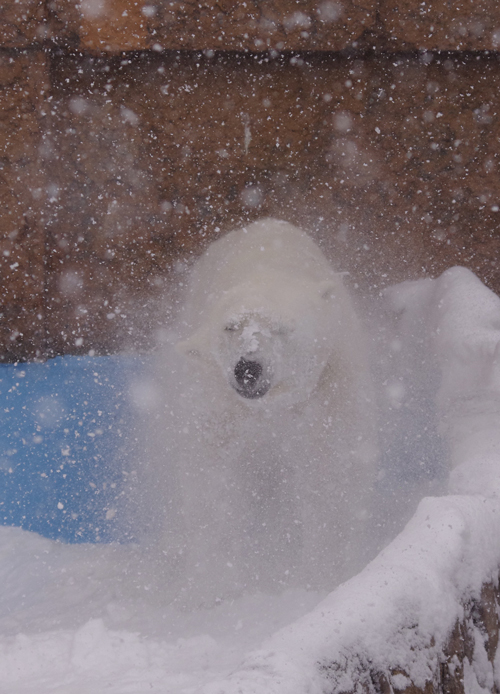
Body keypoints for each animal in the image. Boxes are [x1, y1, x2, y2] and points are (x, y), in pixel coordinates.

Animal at [150, 219, 376, 608]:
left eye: (282, 328)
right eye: (230, 327)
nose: (247, 368)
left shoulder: (329, 390)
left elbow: (327, 475)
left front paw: (321, 575)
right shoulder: (220, 403)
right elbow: (211, 478)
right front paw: (208, 586)